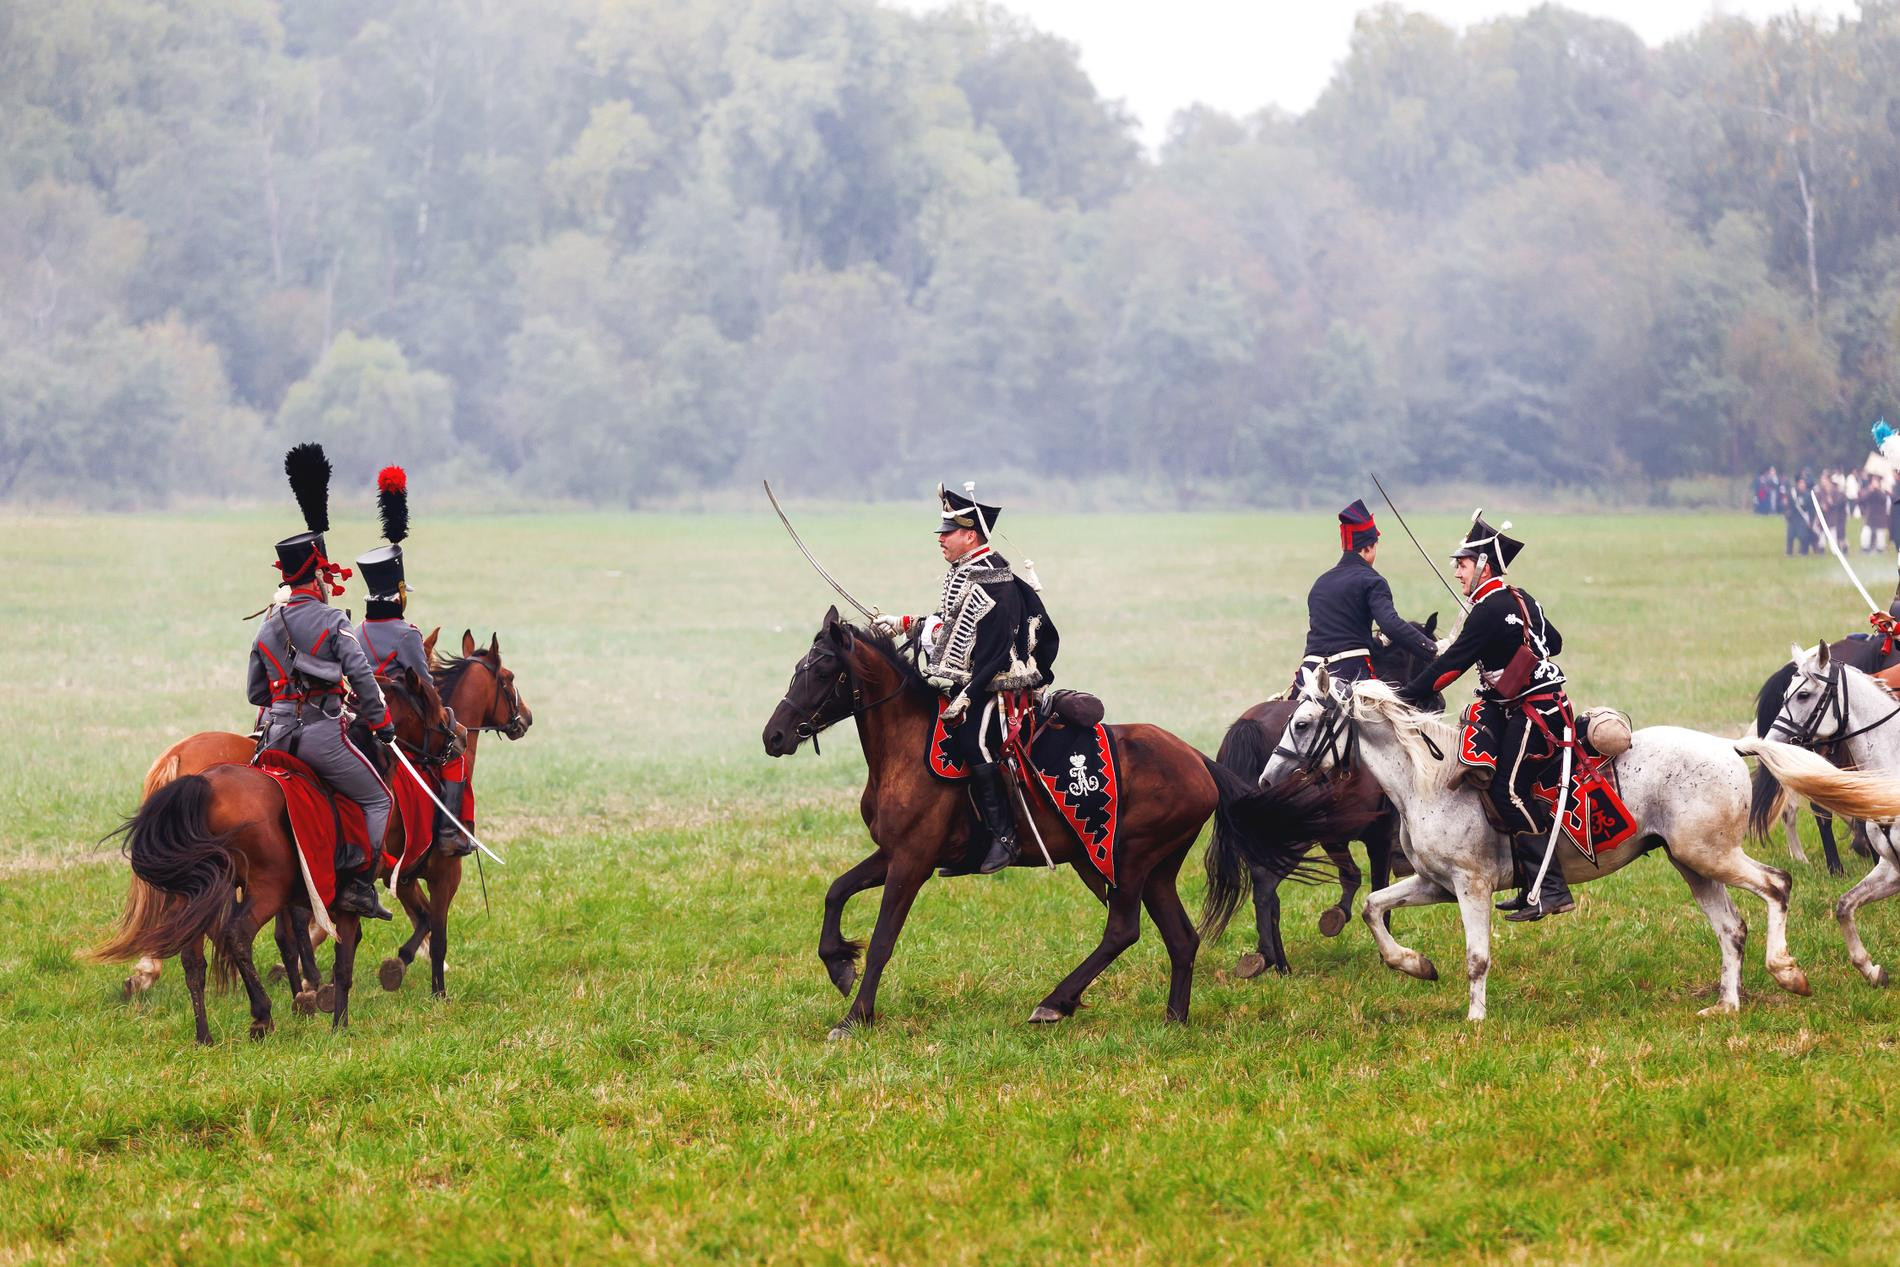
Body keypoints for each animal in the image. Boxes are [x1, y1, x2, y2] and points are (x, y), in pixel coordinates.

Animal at [93, 668, 456, 1048]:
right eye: (434, 707)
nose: (453, 743)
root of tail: (197, 782)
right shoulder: (343, 895)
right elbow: (341, 959)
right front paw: (336, 1020)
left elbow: (298, 938)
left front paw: (309, 995)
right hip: (265, 887)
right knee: (236, 935)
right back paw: (261, 1015)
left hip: (194, 891)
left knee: (193, 959)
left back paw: (203, 1033)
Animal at [376, 626, 535, 1002]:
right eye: (508, 677)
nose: (526, 717)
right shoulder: (446, 873)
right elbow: (437, 934)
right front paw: (438, 991)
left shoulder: (403, 874)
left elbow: (421, 918)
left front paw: (401, 962)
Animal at [756, 607, 1368, 1040]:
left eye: (823, 669)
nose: (774, 736)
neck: (907, 747)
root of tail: (1197, 759)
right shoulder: (893, 854)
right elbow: (836, 892)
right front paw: (838, 965)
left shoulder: (912, 861)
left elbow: (884, 937)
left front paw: (855, 1017)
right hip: (1153, 869)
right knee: (1181, 937)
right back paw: (1172, 1018)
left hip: (1129, 859)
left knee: (1123, 930)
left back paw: (1056, 1002)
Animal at [1200, 619, 1436, 980]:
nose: (1436, 703)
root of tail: (1248, 726)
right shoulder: (1378, 837)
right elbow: (1378, 888)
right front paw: (1390, 958)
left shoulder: (1333, 834)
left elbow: (1351, 876)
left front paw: (1335, 917)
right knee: (1266, 884)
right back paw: (1274, 961)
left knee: (1266, 889)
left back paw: (1269, 960)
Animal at [1261, 672, 1900, 1018]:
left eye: (1302, 725)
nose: (1267, 782)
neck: (1430, 779)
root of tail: (1728, 747)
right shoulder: (1435, 884)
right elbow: (1374, 908)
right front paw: (1415, 965)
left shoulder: (1470, 886)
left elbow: (1477, 956)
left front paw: (1474, 1019)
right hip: (1692, 864)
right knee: (1731, 927)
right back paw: (1727, 1005)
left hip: (1710, 856)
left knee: (1776, 885)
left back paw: (1788, 972)